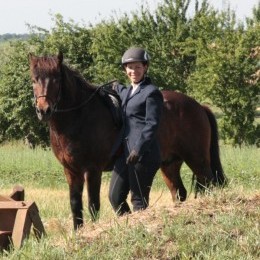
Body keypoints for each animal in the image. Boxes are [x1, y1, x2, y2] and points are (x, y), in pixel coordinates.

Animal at [29, 52, 226, 230]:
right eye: (34, 80)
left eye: (56, 80)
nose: (43, 110)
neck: (80, 116)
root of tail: (199, 106)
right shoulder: (71, 171)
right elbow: (75, 206)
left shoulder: (92, 170)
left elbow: (93, 205)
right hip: (169, 164)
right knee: (179, 193)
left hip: (197, 160)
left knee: (210, 184)